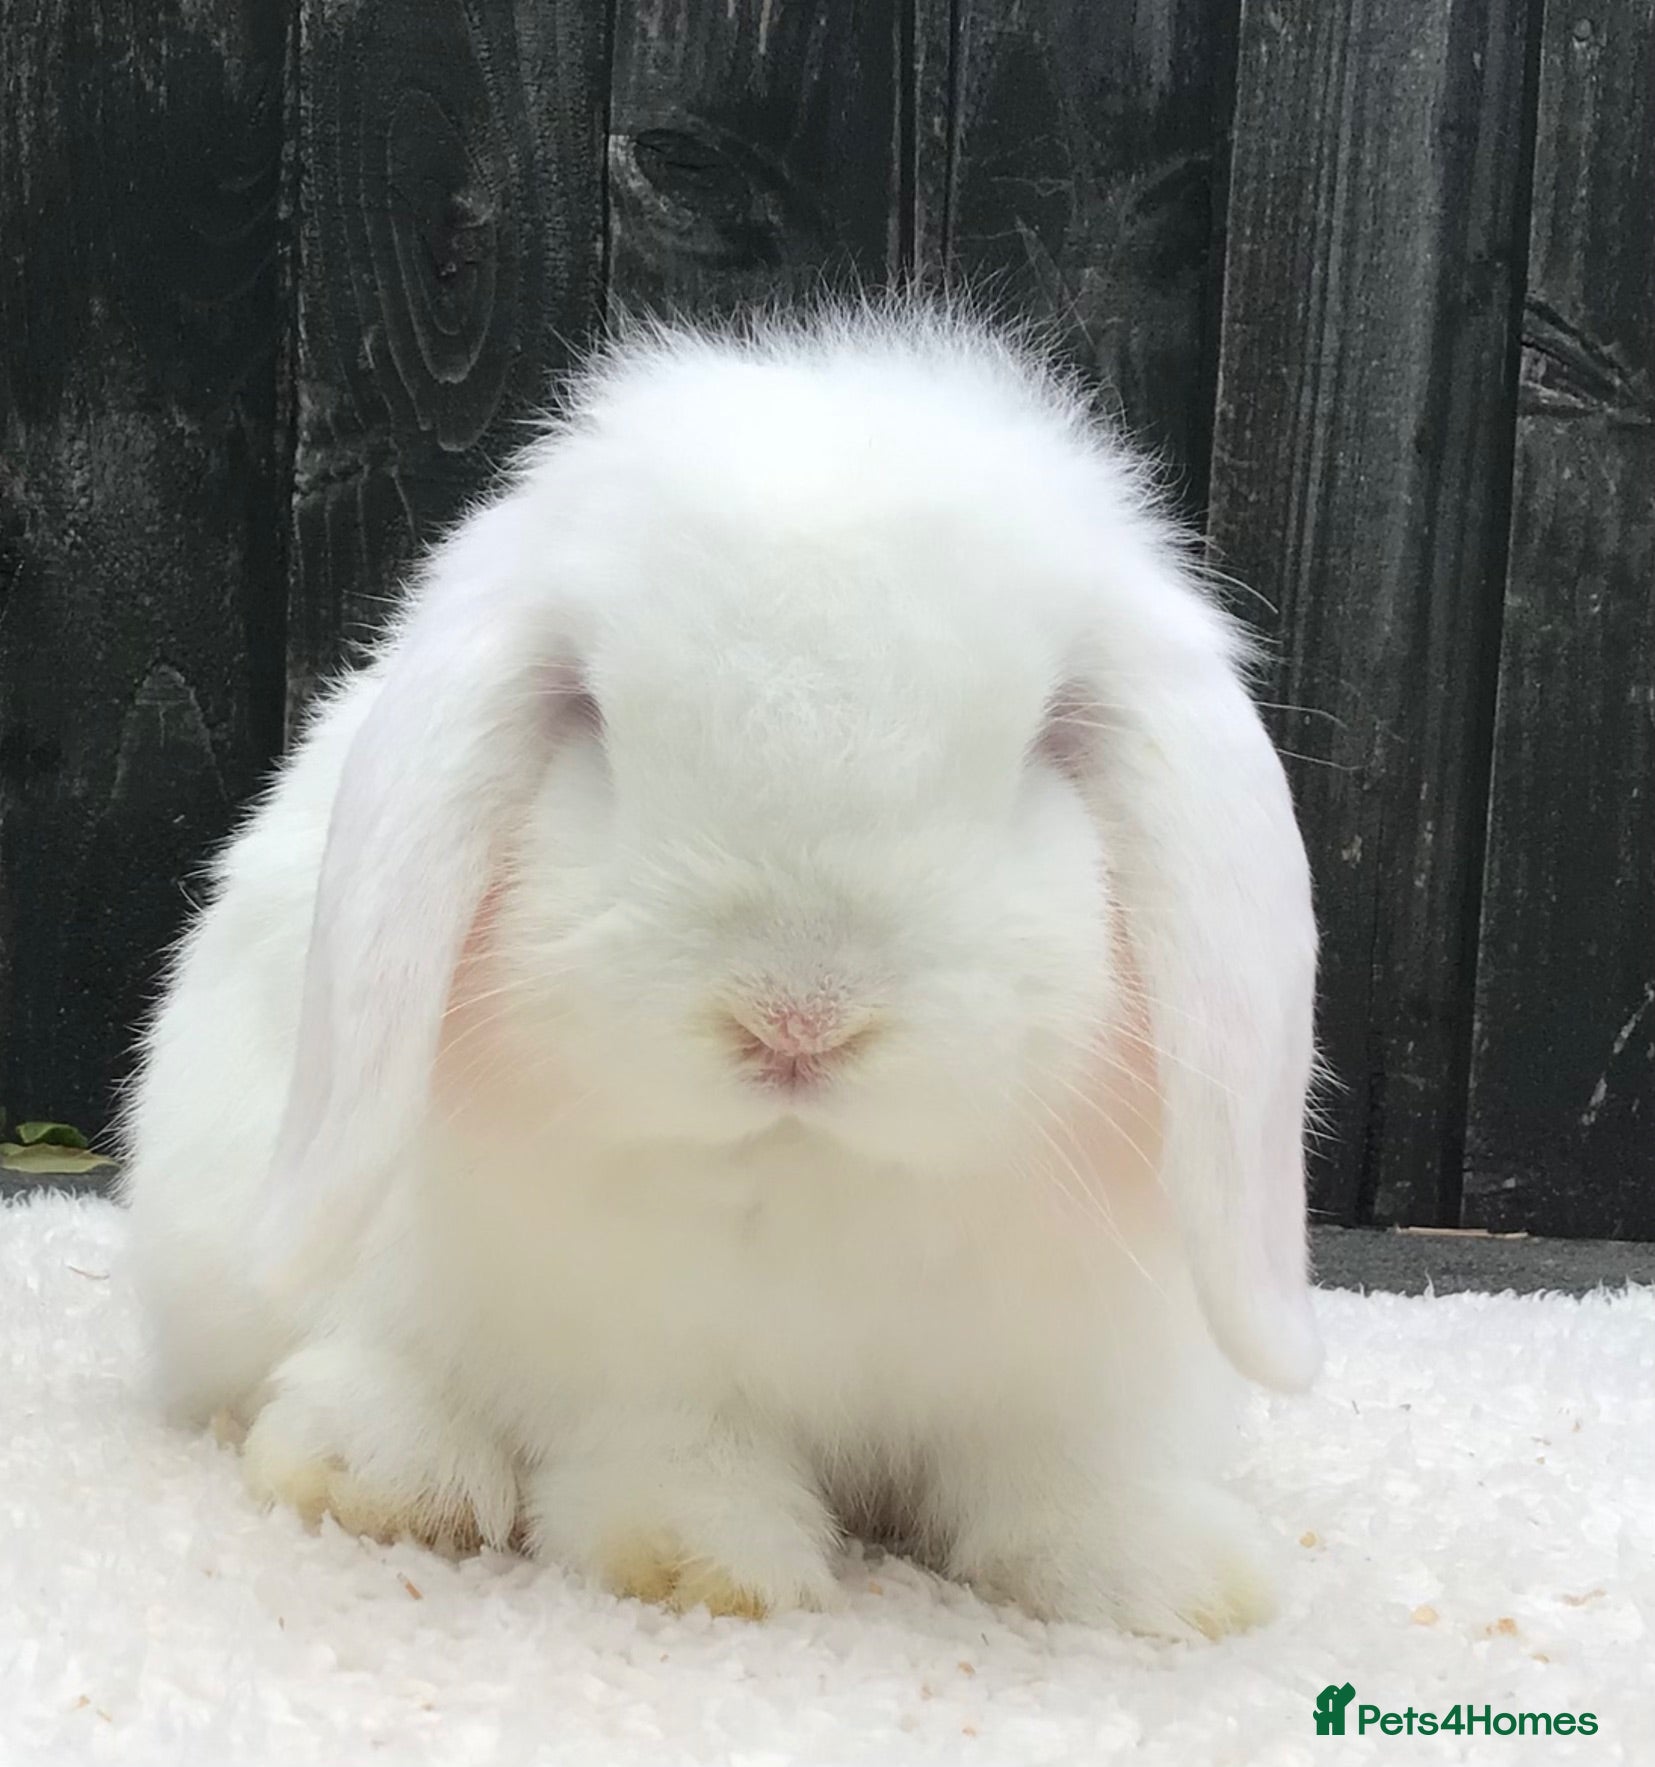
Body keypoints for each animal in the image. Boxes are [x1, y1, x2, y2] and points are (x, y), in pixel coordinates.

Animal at [120, 299, 1321, 1636]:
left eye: (1045, 741)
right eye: (592, 720)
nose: (796, 1019)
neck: (811, 1175)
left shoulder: (1070, 1375)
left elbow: (1061, 1476)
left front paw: (1170, 1582)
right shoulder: (638, 1349)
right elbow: (676, 1448)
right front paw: (703, 1565)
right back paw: (378, 1474)